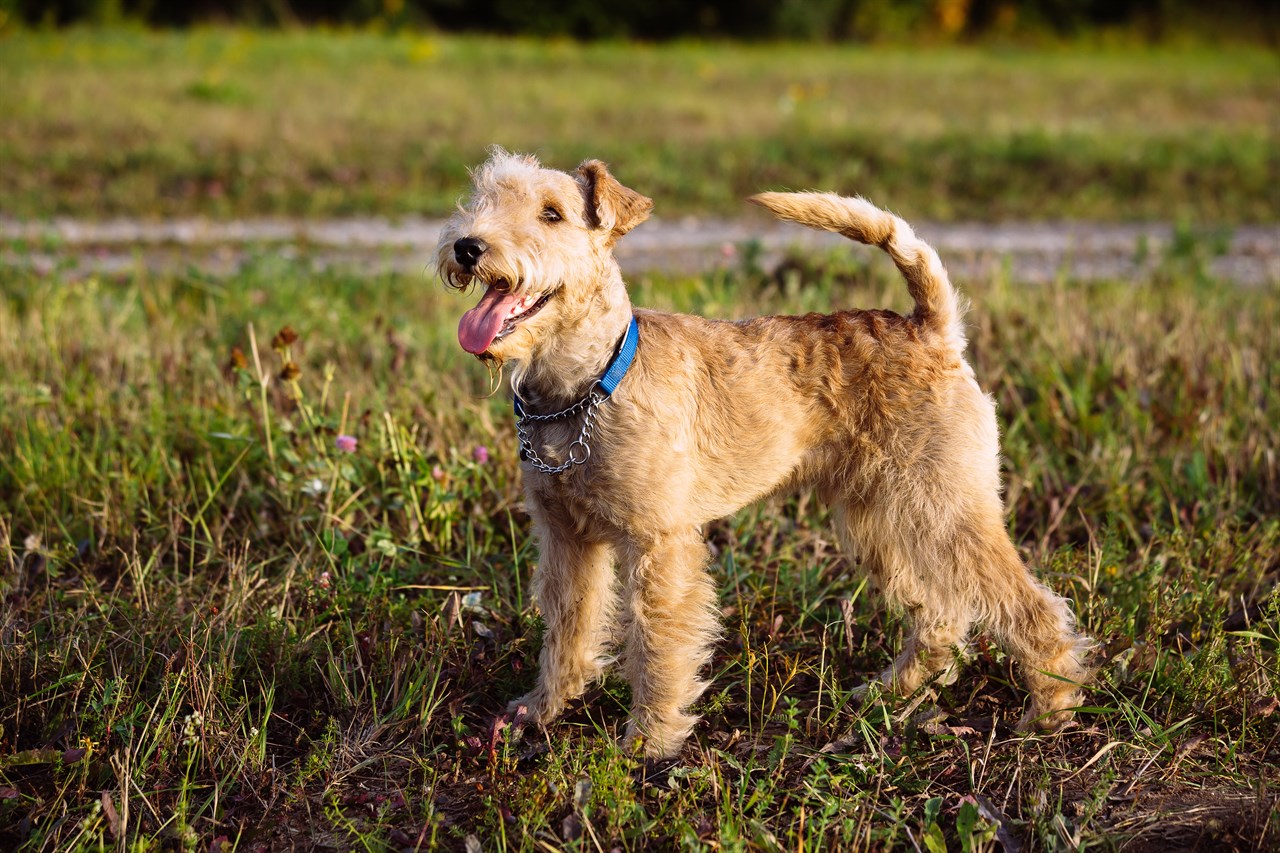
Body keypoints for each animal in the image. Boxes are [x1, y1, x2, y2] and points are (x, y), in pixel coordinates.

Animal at [437, 149, 1090, 753]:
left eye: (552, 213)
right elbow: (567, 629)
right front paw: (540, 710)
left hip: (948, 506)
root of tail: (930, 329)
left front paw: (648, 743)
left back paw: (1051, 710)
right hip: (880, 518)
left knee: (1028, 607)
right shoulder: (565, 538)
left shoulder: (658, 543)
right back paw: (887, 692)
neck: (584, 387)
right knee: (940, 614)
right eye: (482, 196)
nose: (467, 246)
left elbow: (658, 644)